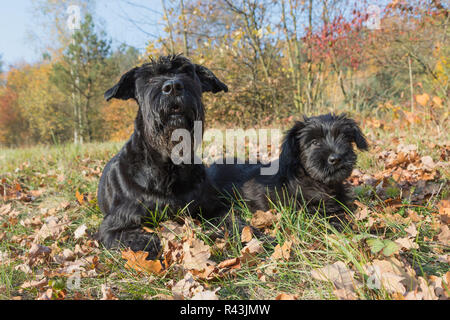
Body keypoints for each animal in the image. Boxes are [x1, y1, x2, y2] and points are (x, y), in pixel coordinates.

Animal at [96, 53, 227, 256]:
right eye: (149, 78)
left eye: (187, 72)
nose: (173, 87)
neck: (169, 165)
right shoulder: (113, 226)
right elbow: (142, 242)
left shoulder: (214, 206)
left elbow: (231, 220)